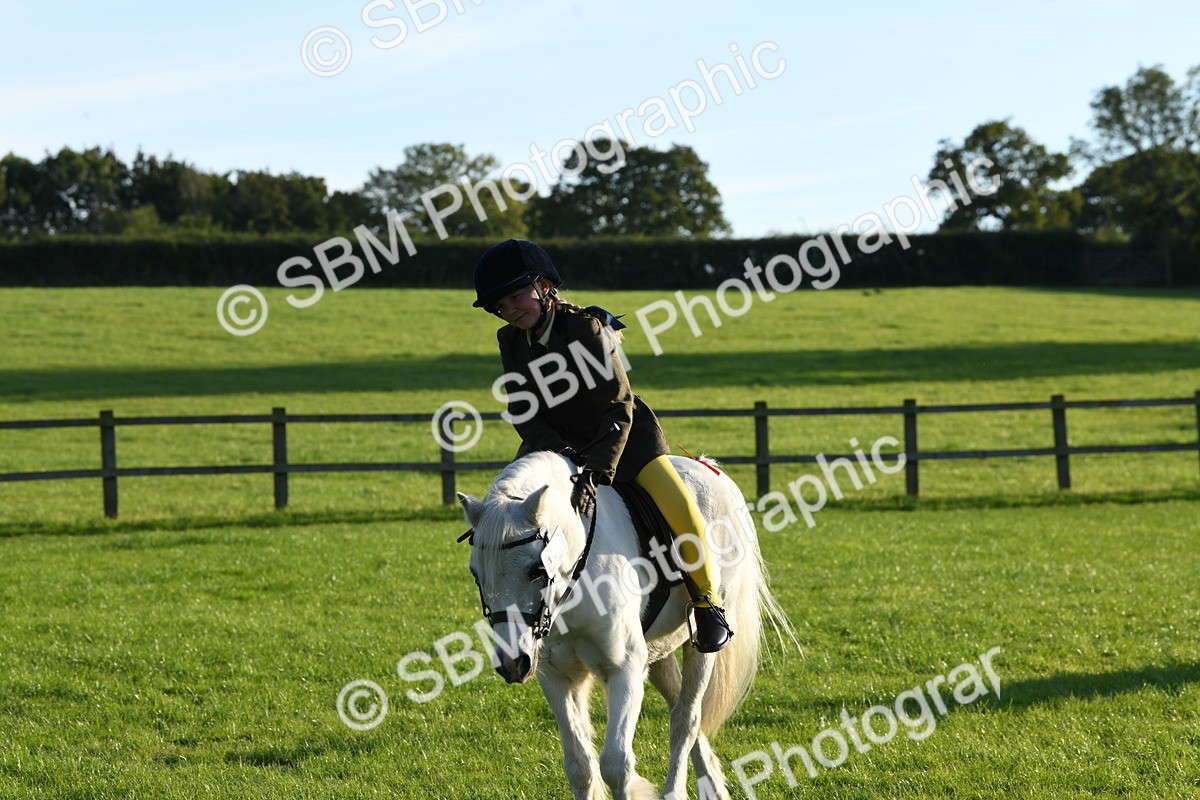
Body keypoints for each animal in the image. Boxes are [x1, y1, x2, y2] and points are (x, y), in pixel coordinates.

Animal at [456, 450, 794, 800]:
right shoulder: (556, 675)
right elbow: (580, 766)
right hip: (658, 650)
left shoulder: (624, 669)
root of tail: (709, 468)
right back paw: (711, 786)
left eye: (536, 570)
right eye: (476, 574)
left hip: (701, 645)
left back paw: (675, 791)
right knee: (679, 707)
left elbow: (615, 764)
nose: (512, 663)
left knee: (686, 717)